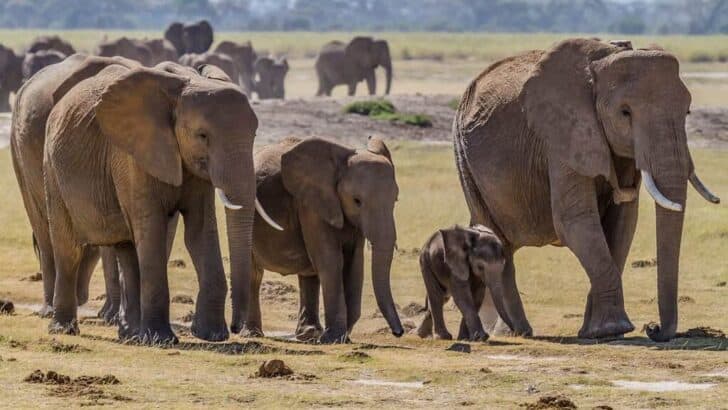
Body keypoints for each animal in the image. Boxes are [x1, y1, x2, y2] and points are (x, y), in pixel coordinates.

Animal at [247, 137, 404, 343]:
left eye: (395, 199)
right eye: (356, 201)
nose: (398, 333)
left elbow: (354, 264)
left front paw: (341, 338)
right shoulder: (311, 205)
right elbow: (330, 261)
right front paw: (333, 339)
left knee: (309, 272)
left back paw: (308, 334)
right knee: (254, 272)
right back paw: (252, 333)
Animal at [452, 38, 720, 341]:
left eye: (687, 111)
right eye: (625, 113)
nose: (653, 328)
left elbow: (623, 222)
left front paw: (598, 332)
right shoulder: (562, 136)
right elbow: (575, 220)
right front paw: (614, 329)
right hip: (464, 157)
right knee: (497, 239)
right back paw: (517, 332)